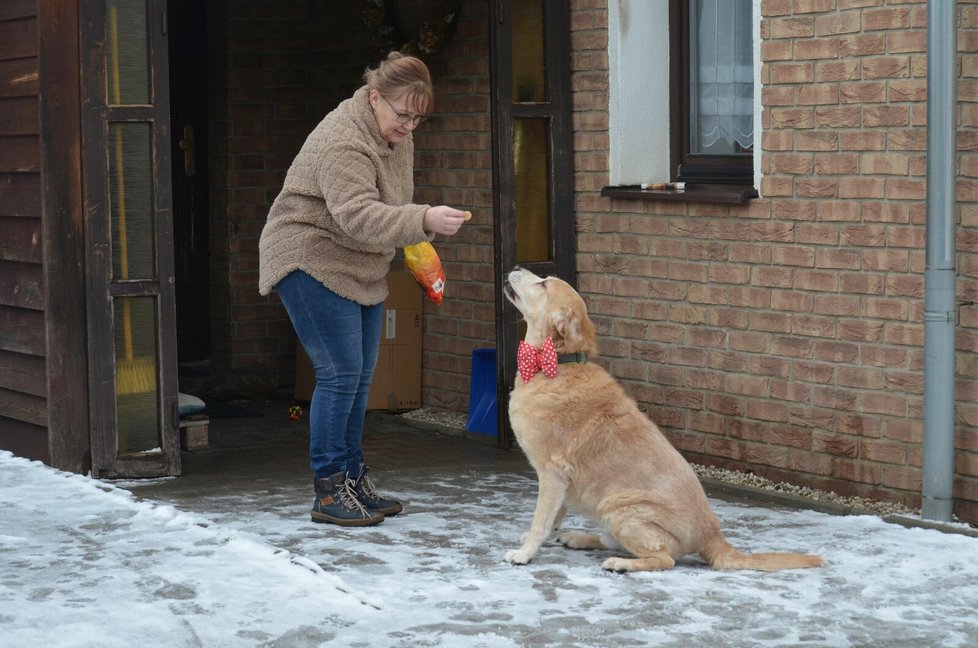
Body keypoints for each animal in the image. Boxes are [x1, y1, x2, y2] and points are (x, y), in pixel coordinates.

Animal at [500, 266, 820, 576]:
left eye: (543, 283)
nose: (515, 266)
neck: (554, 365)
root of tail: (712, 537)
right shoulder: (562, 483)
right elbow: (555, 514)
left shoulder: (552, 474)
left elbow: (541, 520)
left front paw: (525, 553)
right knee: (613, 541)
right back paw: (579, 538)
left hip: (619, 508)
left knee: (663, 559)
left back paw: (620, 563)